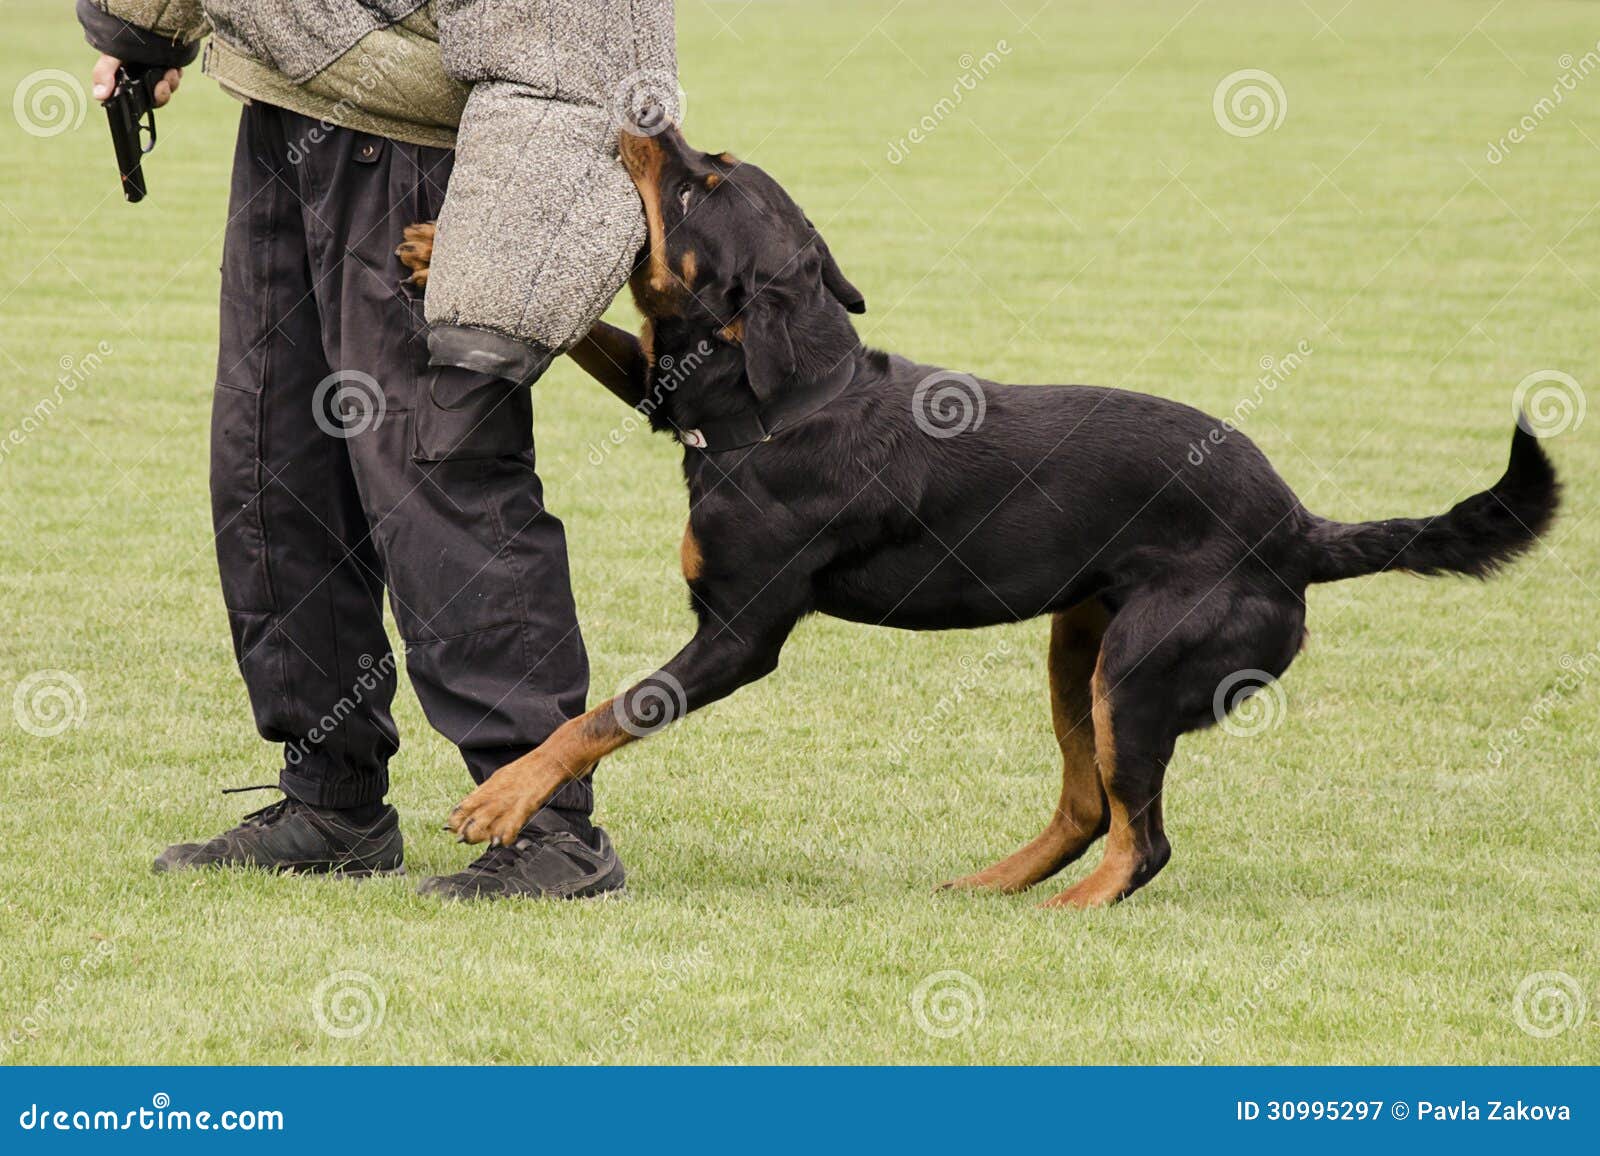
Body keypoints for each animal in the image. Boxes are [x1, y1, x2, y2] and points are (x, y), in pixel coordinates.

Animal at [403, 124, 1561, 903]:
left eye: (699, 187)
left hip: (1141, 670)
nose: (648, 119)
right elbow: (599, 339)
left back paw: (1072, 910)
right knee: (1090, 805)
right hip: (1079, 647)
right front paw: (428, 246)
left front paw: (504, 796)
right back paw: (993, 889)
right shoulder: (665, 393)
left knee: (1142, 839)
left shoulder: (738, 637)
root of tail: (1299, 529)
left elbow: (603, 714)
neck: (790, 402)